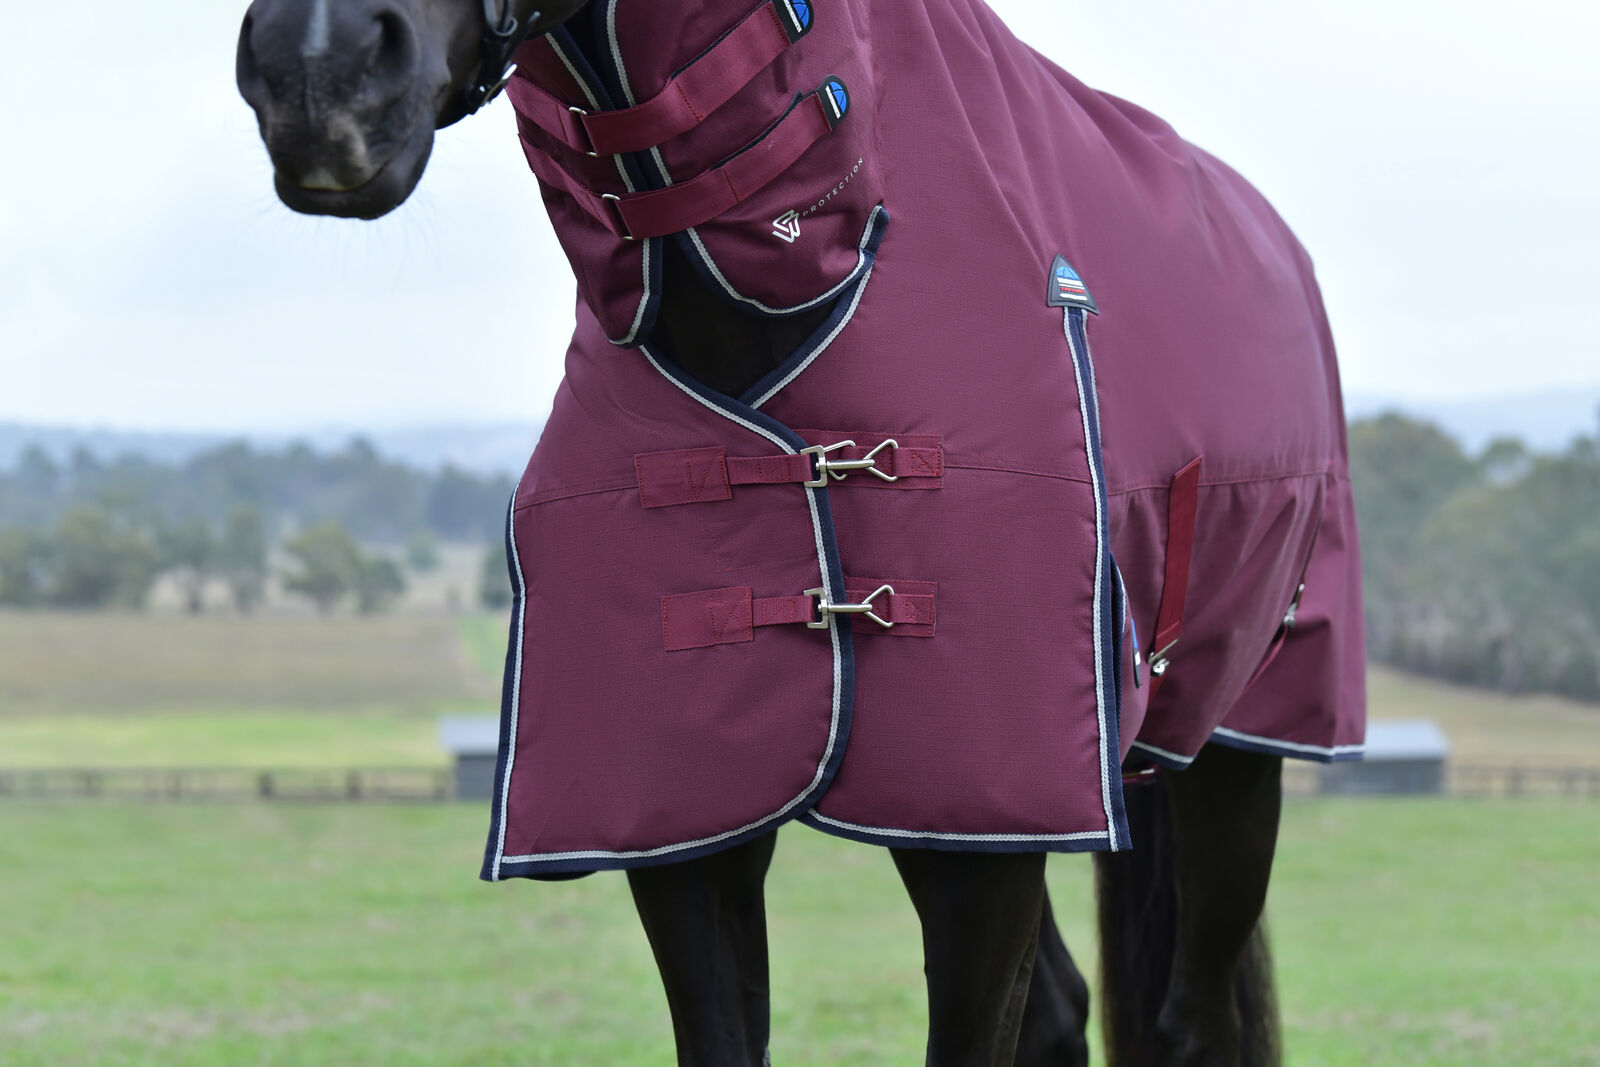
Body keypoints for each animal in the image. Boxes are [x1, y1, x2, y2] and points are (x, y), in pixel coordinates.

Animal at [235, 1, 1366, 1064]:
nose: (315, 71)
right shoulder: (700, 823)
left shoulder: (996, 831)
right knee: (1060, 1007)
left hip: (1223, 747)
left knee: (1193, 1022)